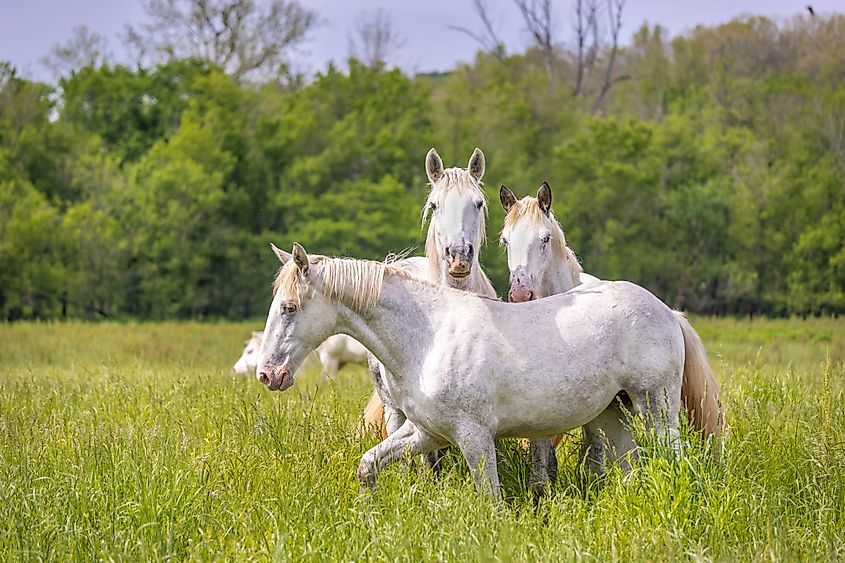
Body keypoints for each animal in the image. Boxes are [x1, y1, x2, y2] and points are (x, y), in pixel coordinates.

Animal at [257, 243, 691, 499]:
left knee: (673, 455)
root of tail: (666, 310)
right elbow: (369, 465)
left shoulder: (474, 436)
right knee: (630, 465)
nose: (267, 374)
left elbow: (491, 501)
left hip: (654, 405)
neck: (428, 337)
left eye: (289, 307)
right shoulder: (426, 434)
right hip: (614, 413)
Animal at [499, 182, 724, 473]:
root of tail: (671, 313)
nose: (520, 294)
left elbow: (595, 449)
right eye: (505, 240)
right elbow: (542, 451)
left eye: (545, 238)